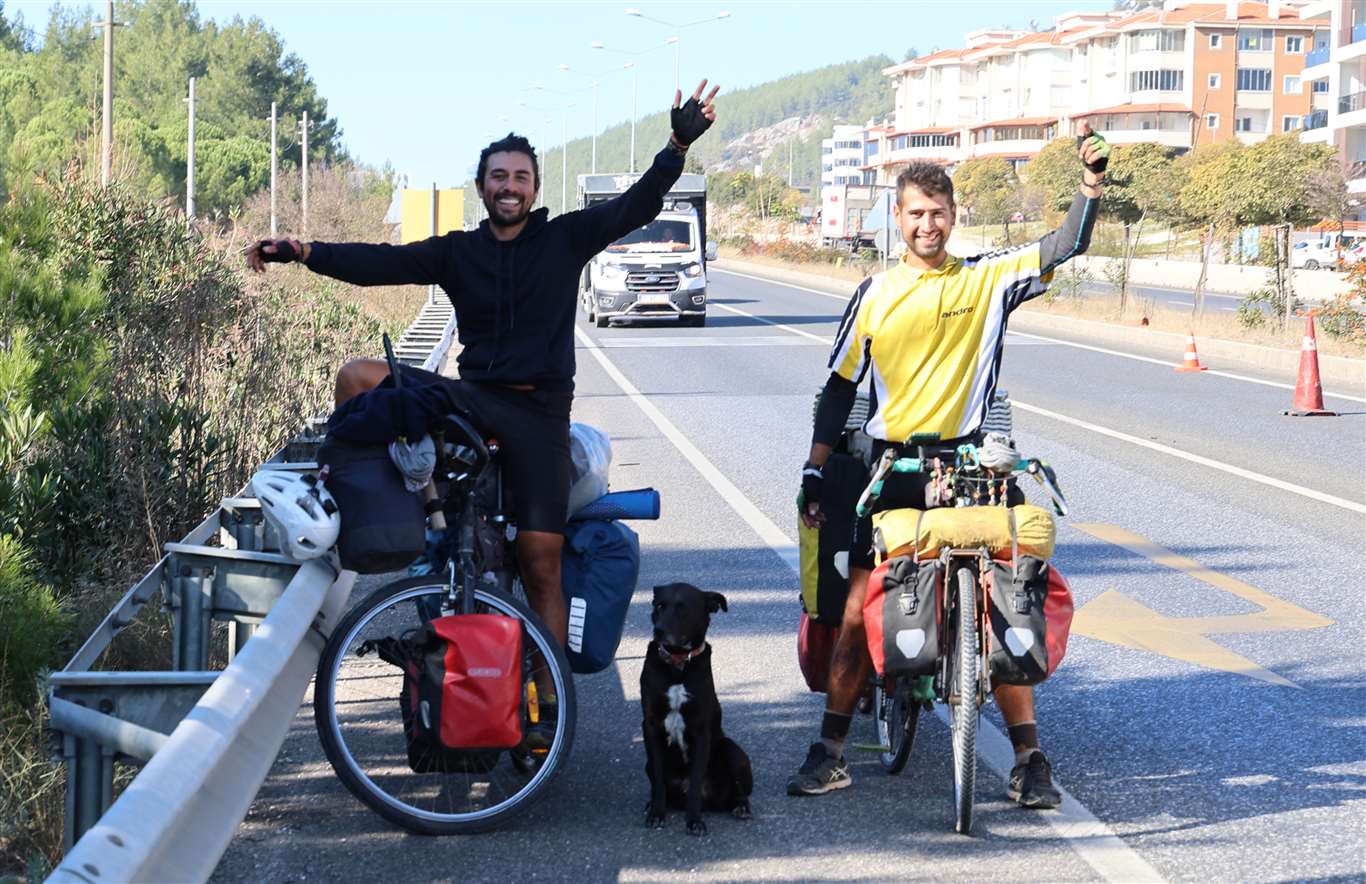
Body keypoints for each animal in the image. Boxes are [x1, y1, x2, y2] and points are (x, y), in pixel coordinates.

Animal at [642, 582, 759, 836]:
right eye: (659, 606)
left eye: (682, 608)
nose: (658, 630)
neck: (678, 665)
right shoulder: (651, 726)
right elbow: (659, 779)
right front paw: (657, 813)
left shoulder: (701, 730)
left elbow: (695, 782)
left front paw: (694, 821)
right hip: (649, 764)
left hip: (732, 751)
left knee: (739, 792)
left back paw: (741, 807)